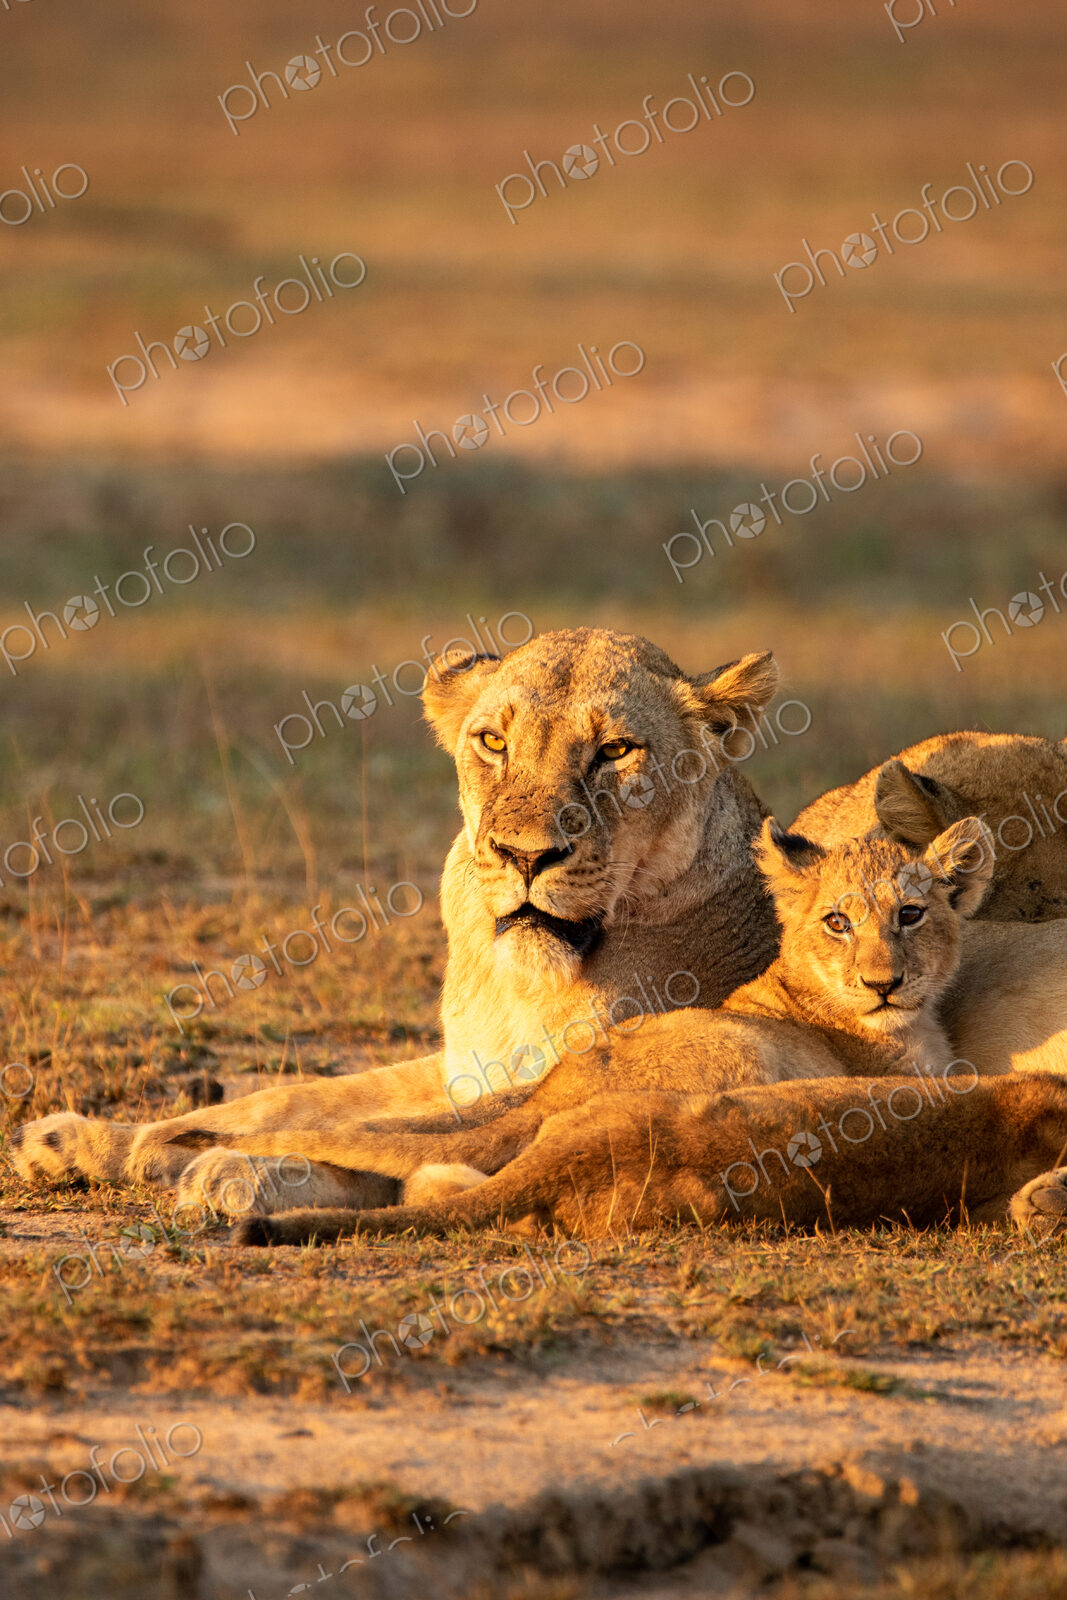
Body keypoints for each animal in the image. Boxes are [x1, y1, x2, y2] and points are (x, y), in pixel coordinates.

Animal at [10, 628, 785, 1212]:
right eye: (493, 742)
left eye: (617, 751)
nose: (524, 855)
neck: (519, 982)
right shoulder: (459, 1067)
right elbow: (292, 1102)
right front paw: (87, 1142)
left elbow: (385, 1144)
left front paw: (237, 1172)